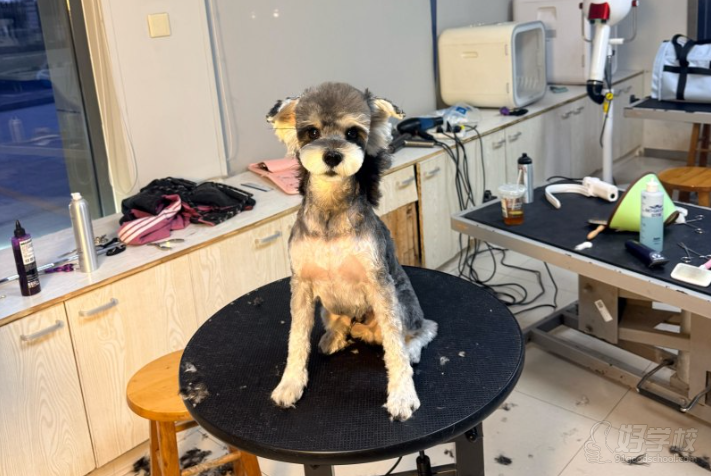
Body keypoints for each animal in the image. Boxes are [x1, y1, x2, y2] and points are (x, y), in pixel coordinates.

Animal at [266, 82, 437, 421]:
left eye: (353, 133)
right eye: (312, 131)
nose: (332, 155)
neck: (331, 211)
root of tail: (363, 329)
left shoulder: (380, 284)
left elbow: (395, 348)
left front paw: (402, 395)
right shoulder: (302, 285)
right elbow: (296, 338)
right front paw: (290, 384)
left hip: (404, 303)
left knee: (421, 330)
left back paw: (412, 348)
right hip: (326, 305)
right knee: (339, 323)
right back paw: (333, 337)